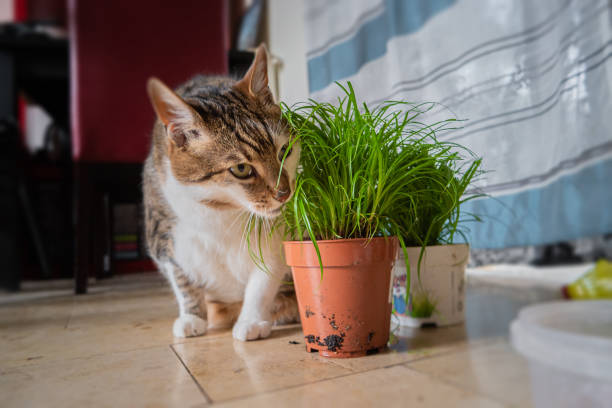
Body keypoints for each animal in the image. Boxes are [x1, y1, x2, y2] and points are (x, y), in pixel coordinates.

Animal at [141, 44, 298, 340]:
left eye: (284, 151)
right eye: (241, 169)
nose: (284, 193)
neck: (223, 210)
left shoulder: (274, 236)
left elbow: (263, 280)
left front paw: (251, 321)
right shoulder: (164, 235)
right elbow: (182, 280)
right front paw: (192, 317)